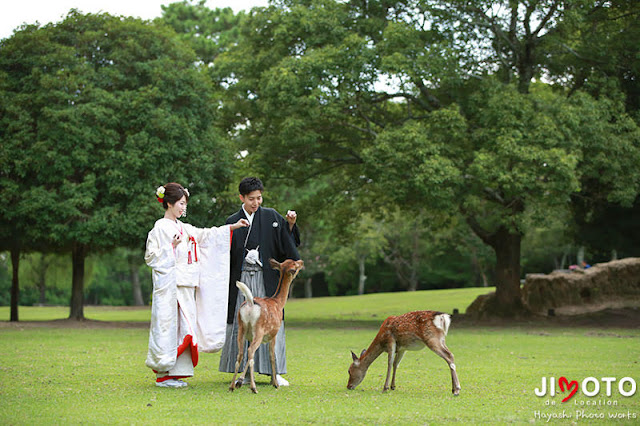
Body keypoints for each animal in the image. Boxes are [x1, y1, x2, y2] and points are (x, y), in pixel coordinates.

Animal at [229, 256, 304, 392]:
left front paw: (240, 381)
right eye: (295, 266)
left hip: (242, 328)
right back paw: (253, 388)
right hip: (259, 329)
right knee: (250, 351)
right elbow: (272, 357)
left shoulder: (252, 337)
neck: (278, 303)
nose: (301, 262)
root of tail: (250, 303)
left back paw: (232, 386)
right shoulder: (273, 333)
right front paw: (275, 384)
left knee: (242, 354)